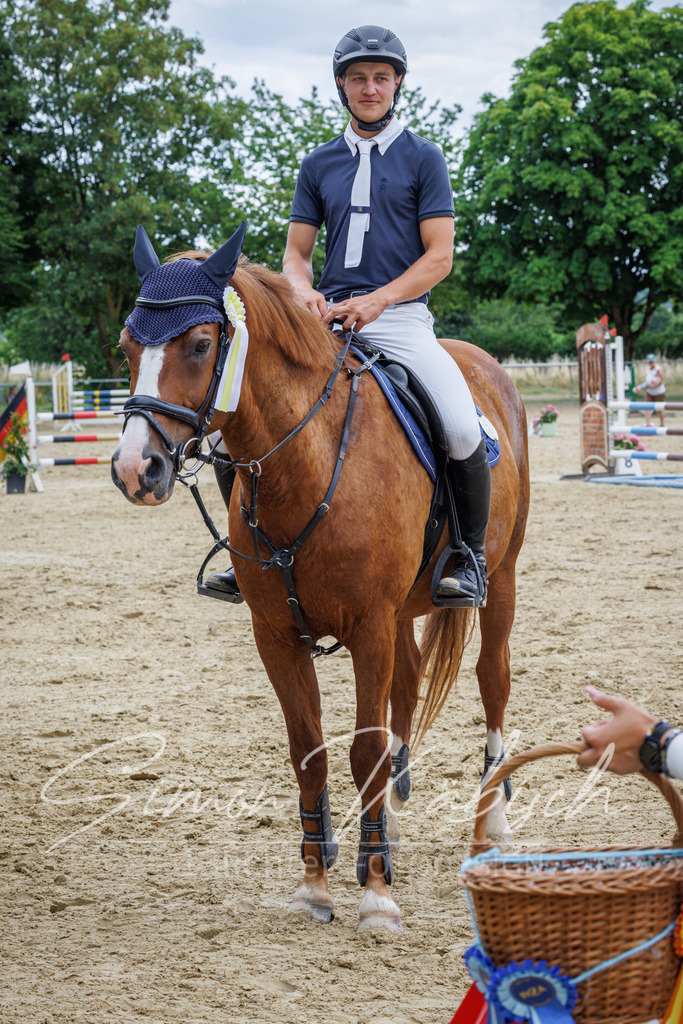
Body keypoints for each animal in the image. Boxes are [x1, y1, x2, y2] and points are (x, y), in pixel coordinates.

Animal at [111, 224, 530, 933]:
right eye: (127, 345)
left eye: (200, 345)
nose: (135, 469)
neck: (308, 463)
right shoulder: (277, 634)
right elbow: (308, 750)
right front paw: (317, 883)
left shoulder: (369, 628)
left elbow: (364, 749)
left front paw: (377, 895)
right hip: (404, 611)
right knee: (407, 686)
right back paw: (390, 820)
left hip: (499, 580)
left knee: (491, 680)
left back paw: (492, 822)